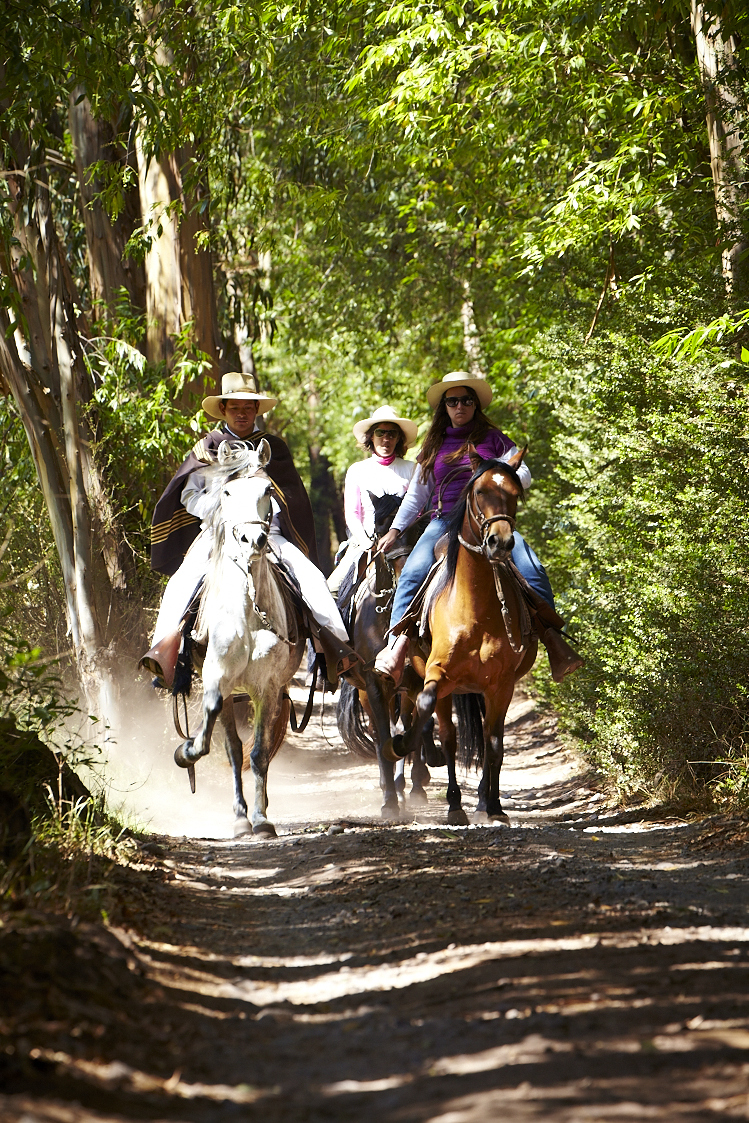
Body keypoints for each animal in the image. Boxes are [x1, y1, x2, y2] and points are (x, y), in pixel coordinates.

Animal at [174, 437, 305, 835]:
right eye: (227, 491)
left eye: (268, 489)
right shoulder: (218, 677)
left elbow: (259, 752)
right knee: (231, 745)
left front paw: (261, 819)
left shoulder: (267, 687)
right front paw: (186, 752)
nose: (252, 539)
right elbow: (222, 741)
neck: (248, 612)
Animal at [386, 444, 539, 826]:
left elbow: (494, 743)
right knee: (442, 728)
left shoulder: (501, 684)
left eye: (514, 493)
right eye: (480, 491)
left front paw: (494, 806)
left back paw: (484, 799)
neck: (476, 608)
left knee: (485, 738)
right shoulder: (438, 674)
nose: (500, 541)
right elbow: (436, 721)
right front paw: (406, 746)